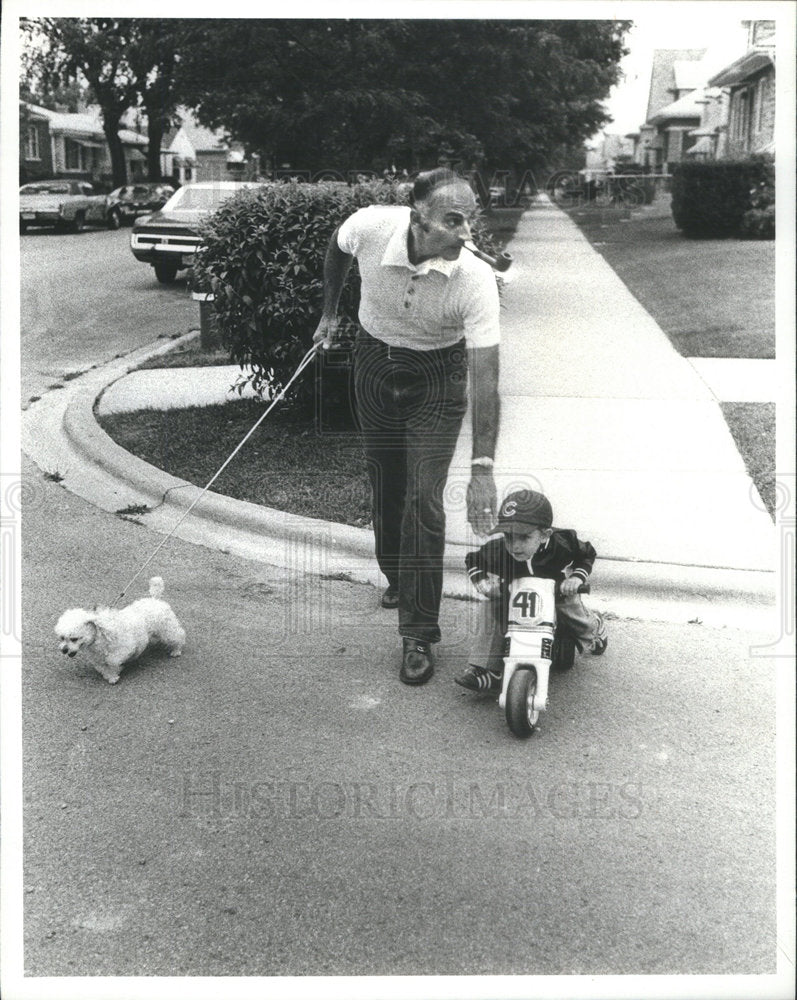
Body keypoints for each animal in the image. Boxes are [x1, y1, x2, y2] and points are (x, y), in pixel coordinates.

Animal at [56, 576, 187, 684]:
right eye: (62, 638)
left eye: (74, 638)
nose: (64, 650)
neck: (99, 636)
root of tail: (154, 599)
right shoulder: (97, 659)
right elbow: (103, 667)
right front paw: (111, 677)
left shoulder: (125, 648)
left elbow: (112, 660)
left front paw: (116, 670)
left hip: (167, 630)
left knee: (178, 636)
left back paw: (176, 650)